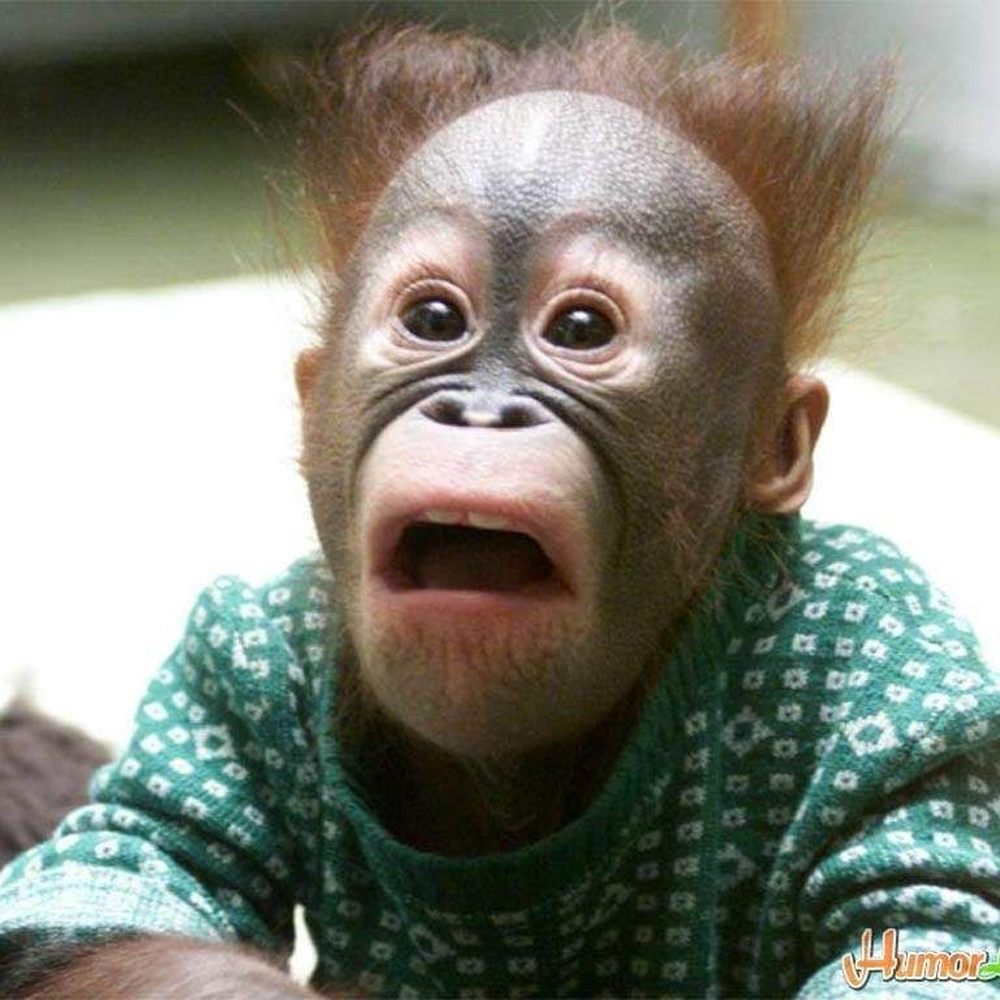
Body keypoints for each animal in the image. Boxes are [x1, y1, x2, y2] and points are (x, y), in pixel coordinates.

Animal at [1, 23, 999, 1000]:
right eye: (436, 319)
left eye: (582, 330)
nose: (481, 412)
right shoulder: (226, 666)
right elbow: (119, 877)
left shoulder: (892, 668)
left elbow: (930, 915)